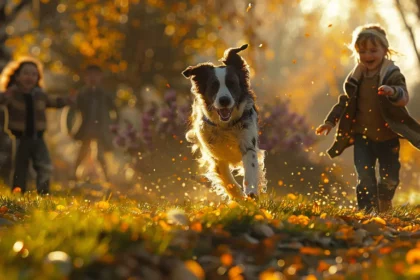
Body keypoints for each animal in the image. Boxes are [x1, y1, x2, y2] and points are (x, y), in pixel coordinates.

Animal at [182, 44, 268, 199]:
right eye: (213, 85)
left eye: (232, 83)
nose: (224, 100)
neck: (226, 126)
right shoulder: (216, 155)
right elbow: (228, 180)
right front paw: (239, 196)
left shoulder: (247, 142)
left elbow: (251, 168)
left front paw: (251, 193)